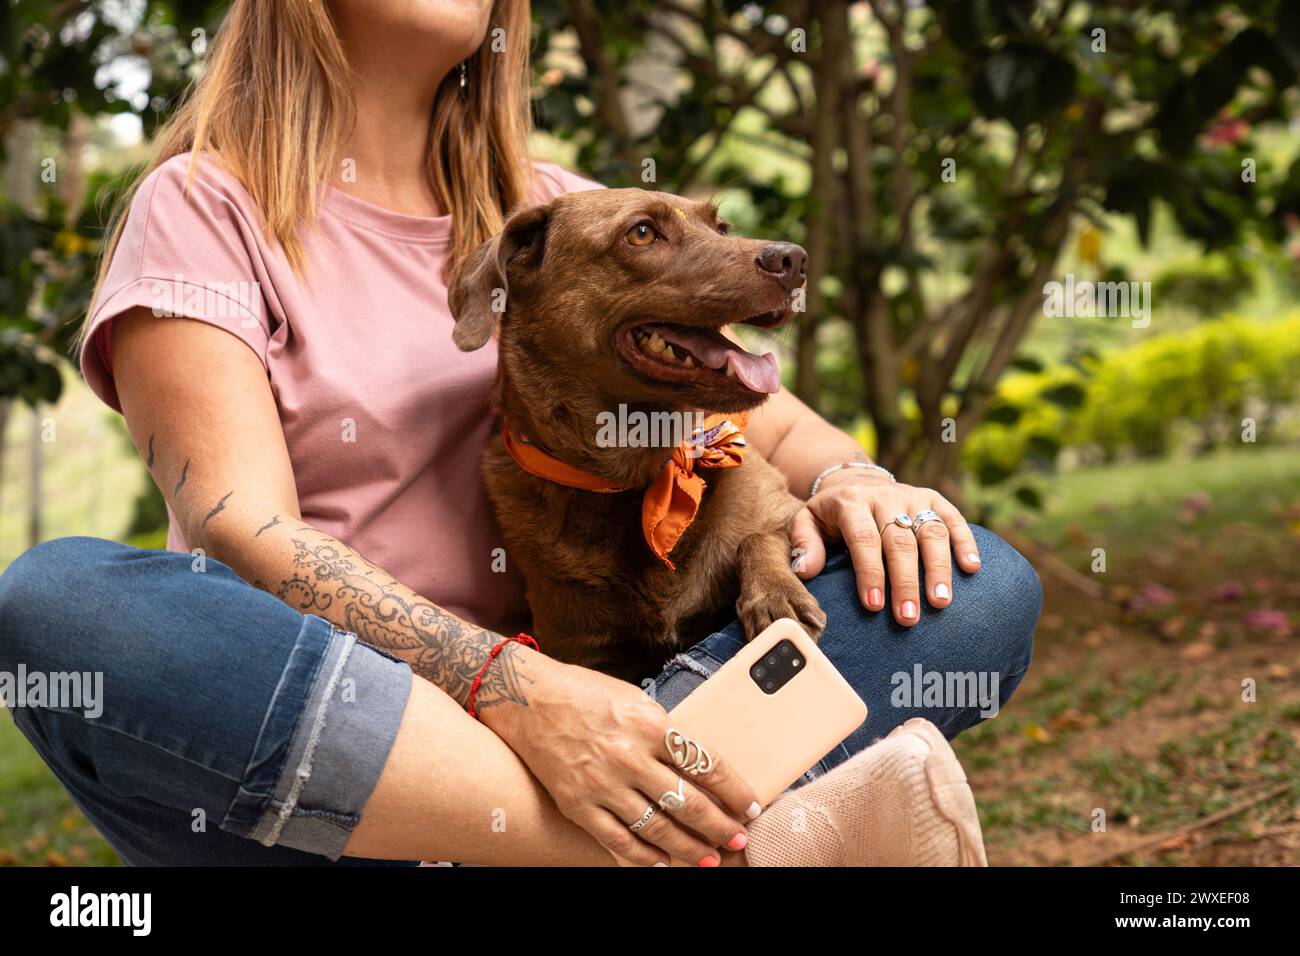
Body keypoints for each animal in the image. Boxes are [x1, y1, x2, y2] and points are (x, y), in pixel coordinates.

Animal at [452, 187, 826, 681]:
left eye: (722, 228)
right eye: (643, 233)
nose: (795, 259)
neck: (640, 473)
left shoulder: (788, 508)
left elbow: (760, 533)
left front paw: (777, 595)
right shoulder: (582, 652)